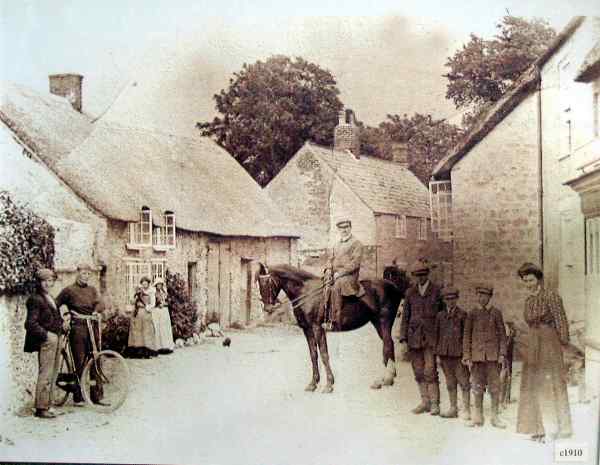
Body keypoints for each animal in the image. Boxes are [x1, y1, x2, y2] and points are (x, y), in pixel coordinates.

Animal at [255, 262, 406, 390]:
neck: (306, 292)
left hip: (384, 321)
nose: (267, 308)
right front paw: (313, 383)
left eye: (267, 282)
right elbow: (313, 354)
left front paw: (328, 384)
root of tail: (394, 287)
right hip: (377, 323)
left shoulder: (317, 328)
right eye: (259, 284)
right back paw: (388, 379)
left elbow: (324, 354)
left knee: (387, 345)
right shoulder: (307, 330)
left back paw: (384, 379)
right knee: (389, 344)